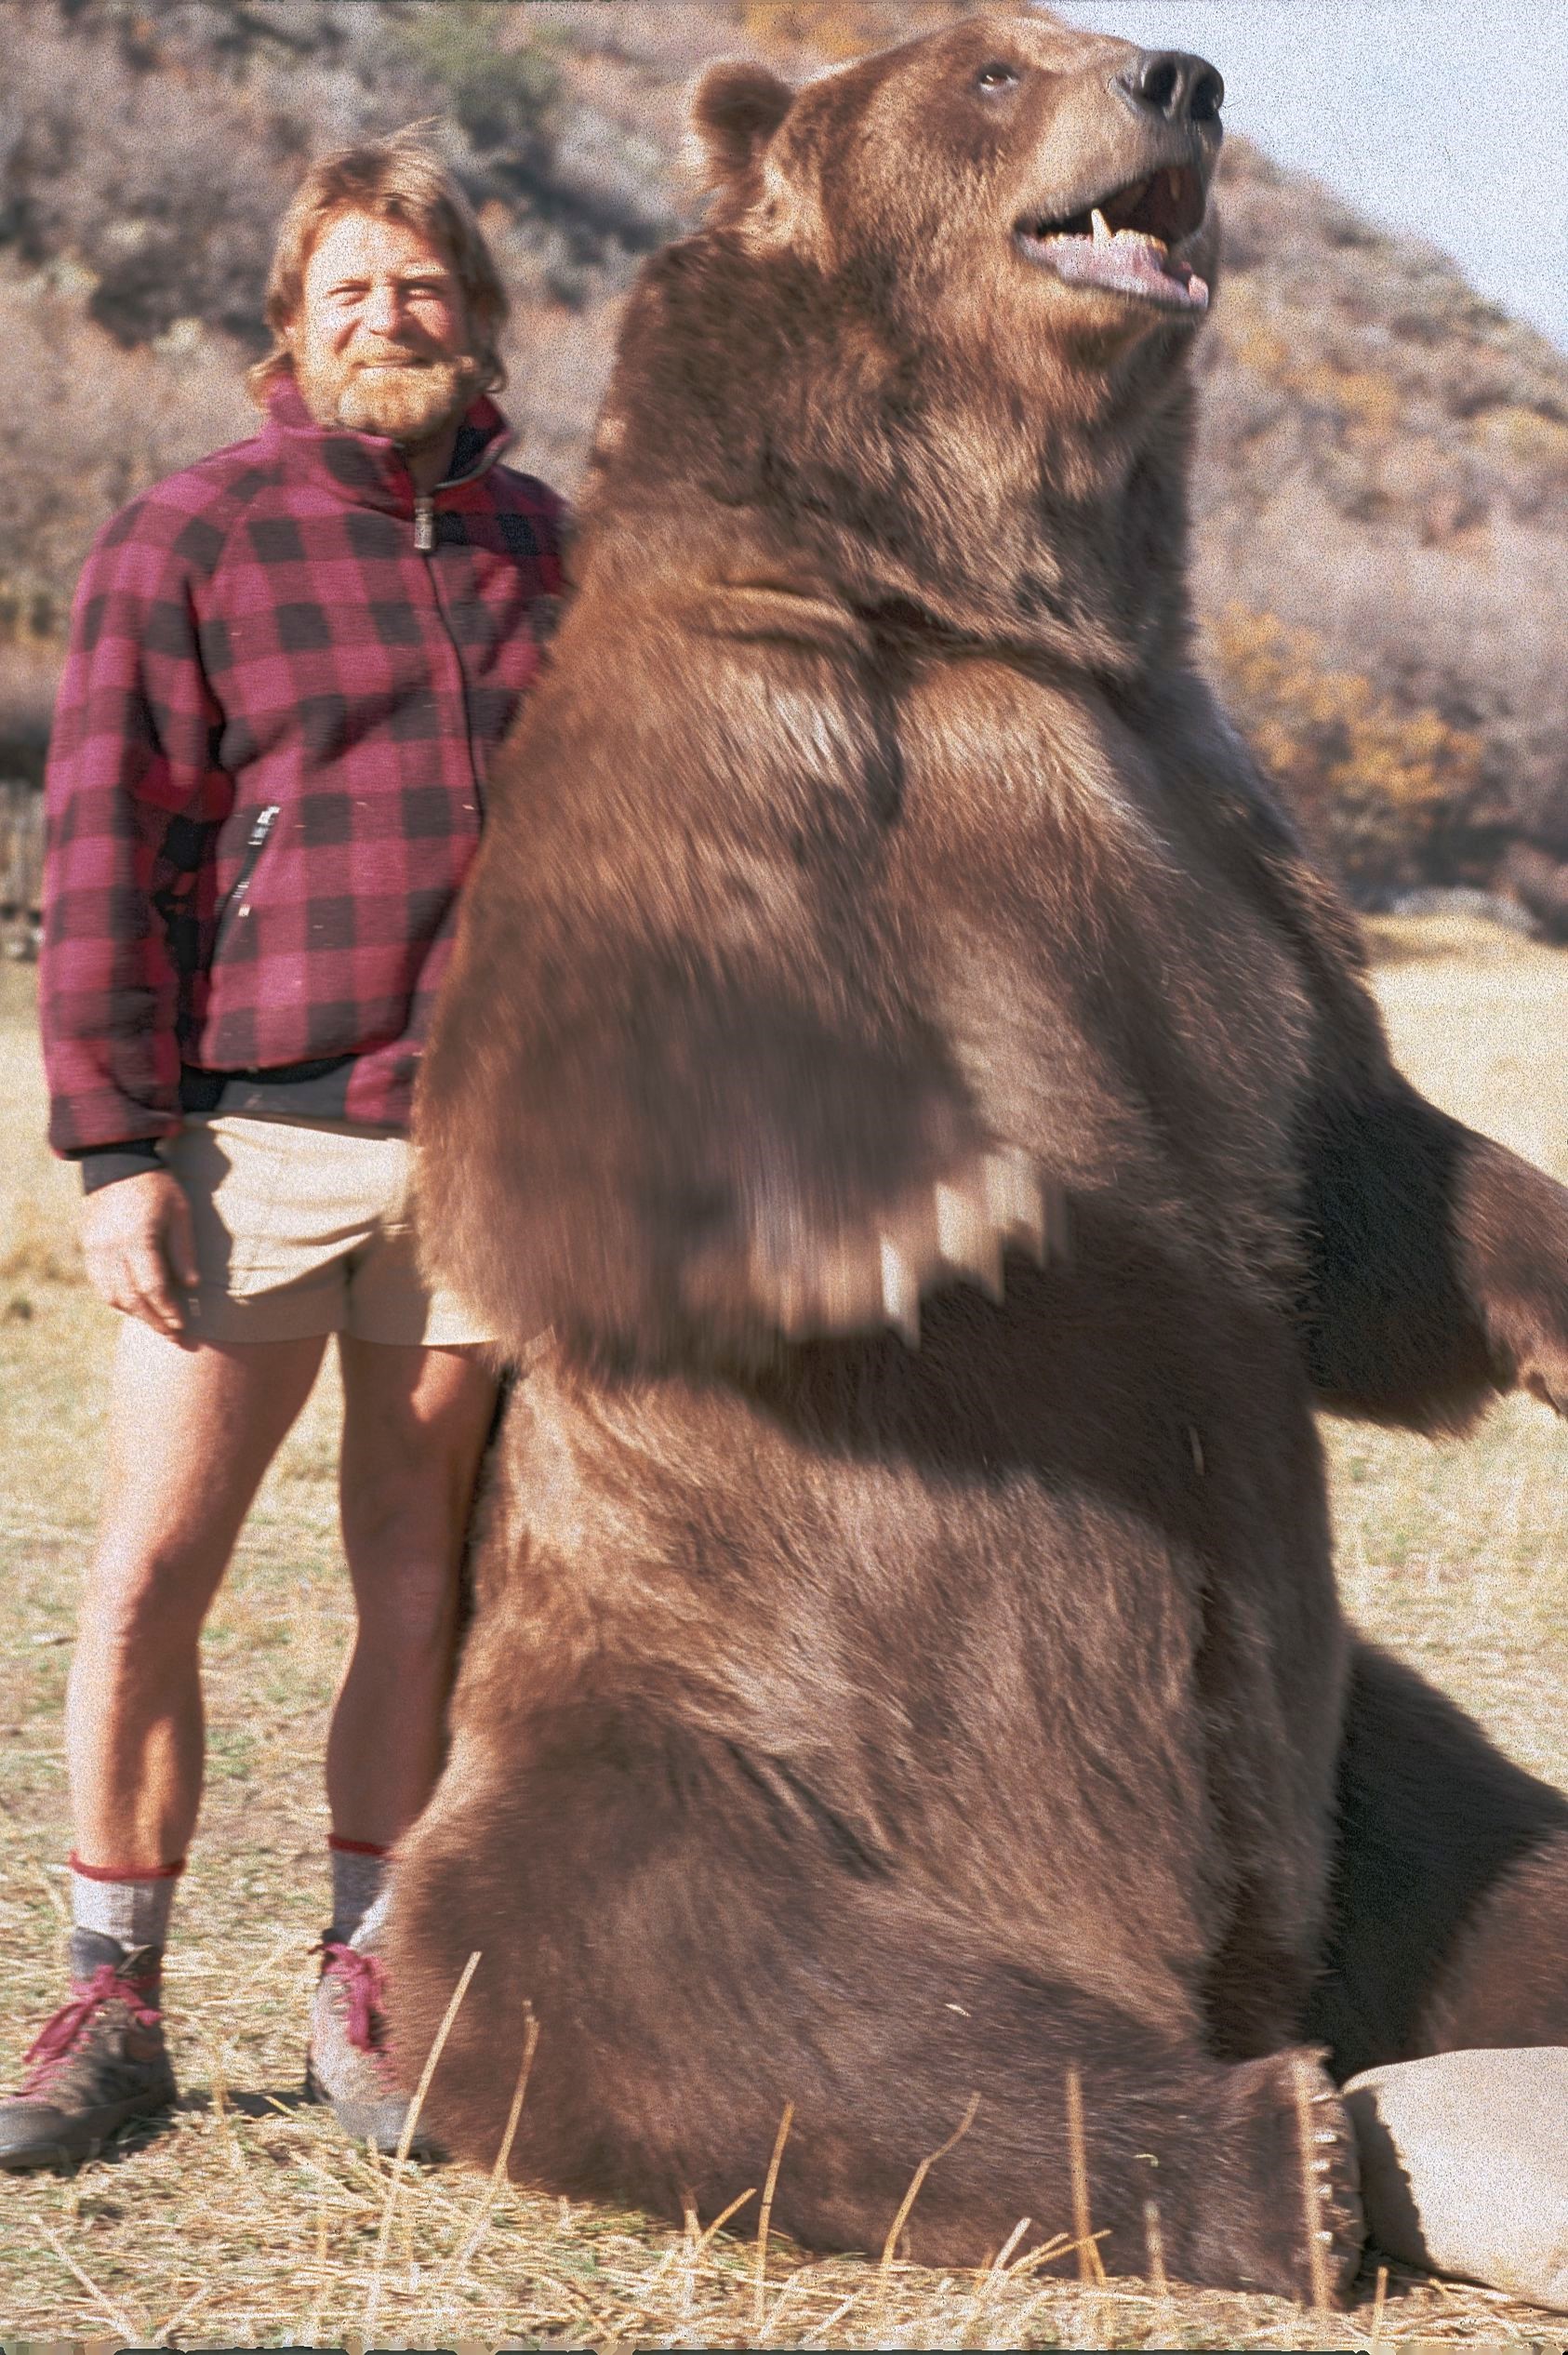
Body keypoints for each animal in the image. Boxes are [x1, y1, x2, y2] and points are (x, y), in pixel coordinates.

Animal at [392, 8, 1568, 2308]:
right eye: (994, 75)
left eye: (1099, 43)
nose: (1183, 74)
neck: (982, 604)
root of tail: (1220, 1967)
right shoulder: (738, 725)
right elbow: (554, 1105)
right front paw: (921, 1211)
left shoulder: (1207, 811)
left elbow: (1354, 1176)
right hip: (706, 1709)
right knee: (692, 1976)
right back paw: (1282, 2155)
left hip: (1360, 1761)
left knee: (1510, 1855)